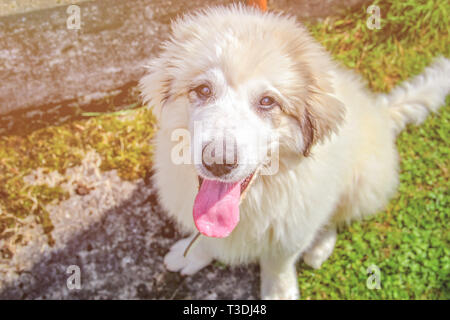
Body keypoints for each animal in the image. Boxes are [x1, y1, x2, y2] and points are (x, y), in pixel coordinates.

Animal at [139, 4, 448, 300]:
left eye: (267, 101)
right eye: (203, 90)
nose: (218, 162)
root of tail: (381, 112)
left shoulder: (293, 226)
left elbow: (279, 263)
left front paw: (279, 292)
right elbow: (205, 234)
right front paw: (190, 254)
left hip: (361, 183)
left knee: (336, 216)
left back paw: (319, 247)